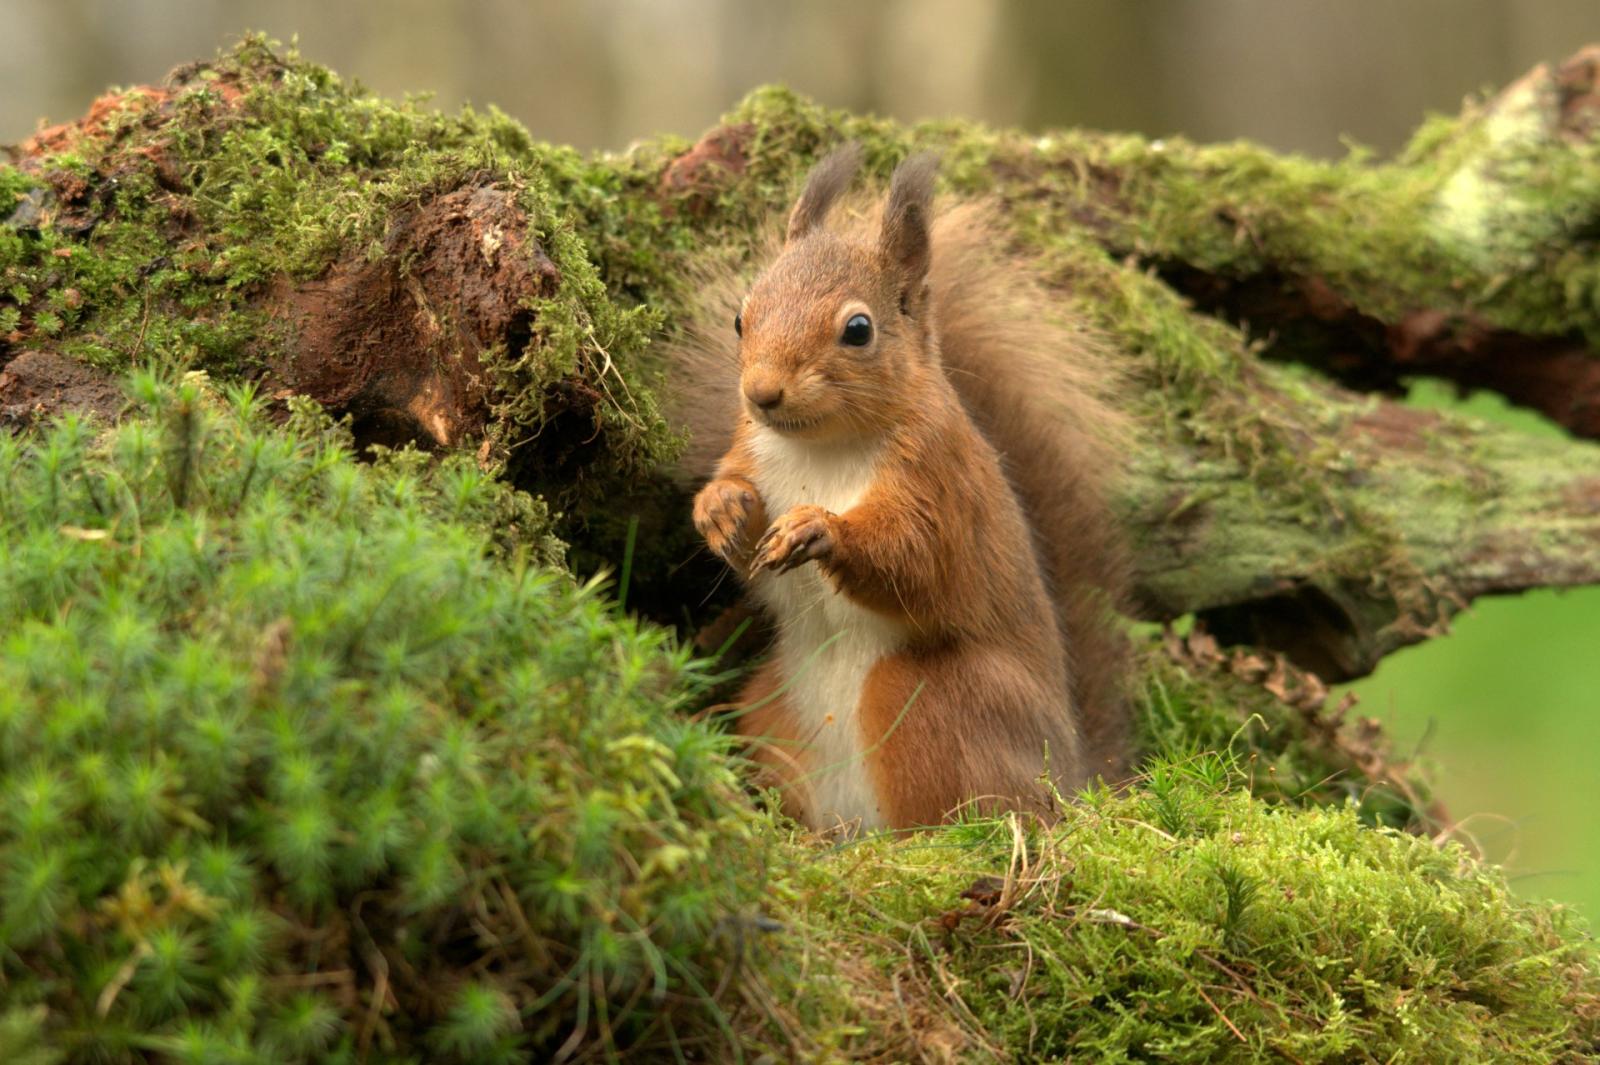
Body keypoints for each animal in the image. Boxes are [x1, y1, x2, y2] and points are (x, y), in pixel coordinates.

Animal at [669, 145, 1131, 832]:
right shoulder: (750, 449)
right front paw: (720, 509)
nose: (761, 393)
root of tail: (1070, 775)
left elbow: (916, 559)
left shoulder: (937, 480)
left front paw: (820, 528)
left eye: (858, 330)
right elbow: (736, 501)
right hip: (772, 711)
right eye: (739, 317)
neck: (822, 449)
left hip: (928, 701)